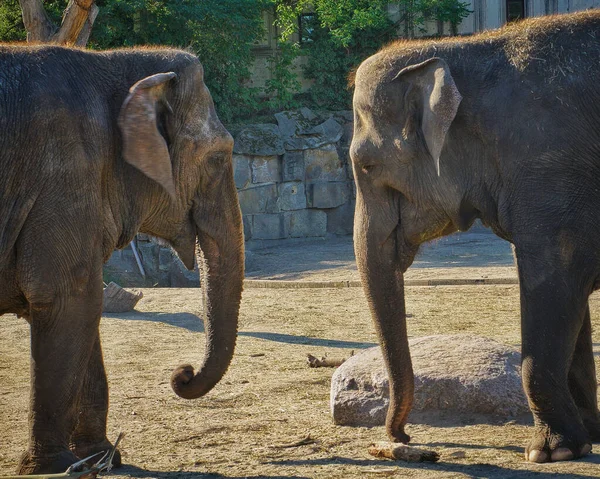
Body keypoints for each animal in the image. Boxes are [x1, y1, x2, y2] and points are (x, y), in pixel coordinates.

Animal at [0, 45, 244, 476]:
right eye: (218, 158)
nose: (182, 374)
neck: (112, 62)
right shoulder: (63, 177)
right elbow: (68, 300)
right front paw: (54, 466)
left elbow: (80, 307)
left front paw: (100, 458)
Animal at [350, 8, 600, 464]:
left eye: (368, 165)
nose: (401, 440)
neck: (465, 50)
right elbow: (574, 306)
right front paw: (587, 438)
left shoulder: (549, 167)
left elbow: (553, 283)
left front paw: (549, 453)